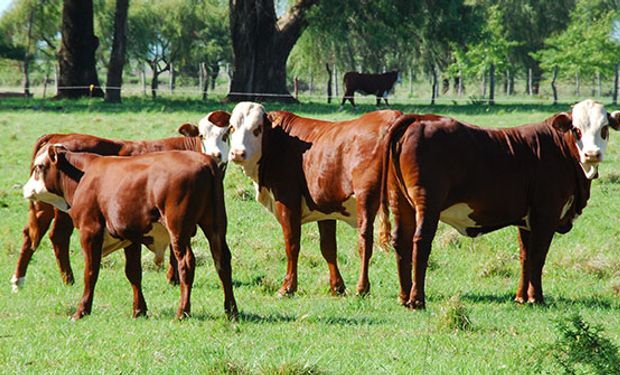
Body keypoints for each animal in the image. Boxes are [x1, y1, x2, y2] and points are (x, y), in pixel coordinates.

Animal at [10, 111, 230, 294]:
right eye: (202, 135)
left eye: (226, 134)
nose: (216, 155)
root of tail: (59, 136)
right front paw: (172, 279)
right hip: (56, 208)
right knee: (51, 236)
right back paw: (56, 279)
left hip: (46, 206)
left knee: (39, 235)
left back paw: (33, 280)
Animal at [21, 147, 235, 320]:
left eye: (39, 166)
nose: (25, 189)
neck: (83, 175)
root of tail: (205, 161)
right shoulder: (131, 237)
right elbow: (133, 273)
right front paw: (139, 311)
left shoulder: (90, 232)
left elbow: (91, 272)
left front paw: (81, 311)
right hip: (216, 226)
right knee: (222, 261)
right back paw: (231, 310)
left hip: (178, 230)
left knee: (186, 264)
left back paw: (182, 312)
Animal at [228, 102, 402, 296]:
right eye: (232, 127)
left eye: (257, 129)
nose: (237, 153)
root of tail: (391, 116)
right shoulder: (326, 208)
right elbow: (328, 247)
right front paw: (337, 287)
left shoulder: (288, 203)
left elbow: (292, 245)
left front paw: (287, 287)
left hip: (366, 200)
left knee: (365, 242)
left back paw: (362, 288)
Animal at [382, 99, 620, 308]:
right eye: (576, 129)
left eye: (604, 129)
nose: (592, 154)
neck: (558, 149)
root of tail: (420, 119)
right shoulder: (545, 215)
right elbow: (538, 256)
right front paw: (537, 298)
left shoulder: (526, 221)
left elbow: (525, 256)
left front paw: (522, 297)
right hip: (427, 202)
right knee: (420, 242)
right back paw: (417, 300)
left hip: (400, 201)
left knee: (401, 241)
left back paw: (404, 297)